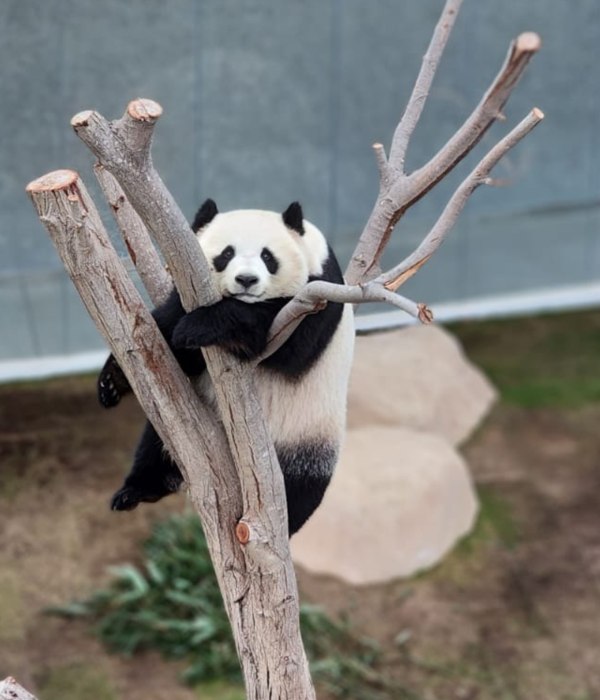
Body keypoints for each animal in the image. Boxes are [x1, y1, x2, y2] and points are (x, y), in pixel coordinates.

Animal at [97, 200, 355, 536]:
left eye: (268, 257)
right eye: (226, 254)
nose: (246, 280)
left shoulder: (317, 296)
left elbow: (281, 341)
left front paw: (199, 326)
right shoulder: (185, 294)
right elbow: (169, 340)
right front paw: (113, 380)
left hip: (307, 440)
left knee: (302, 486)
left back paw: (282, 525)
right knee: (155, 445)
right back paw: (138, 491)